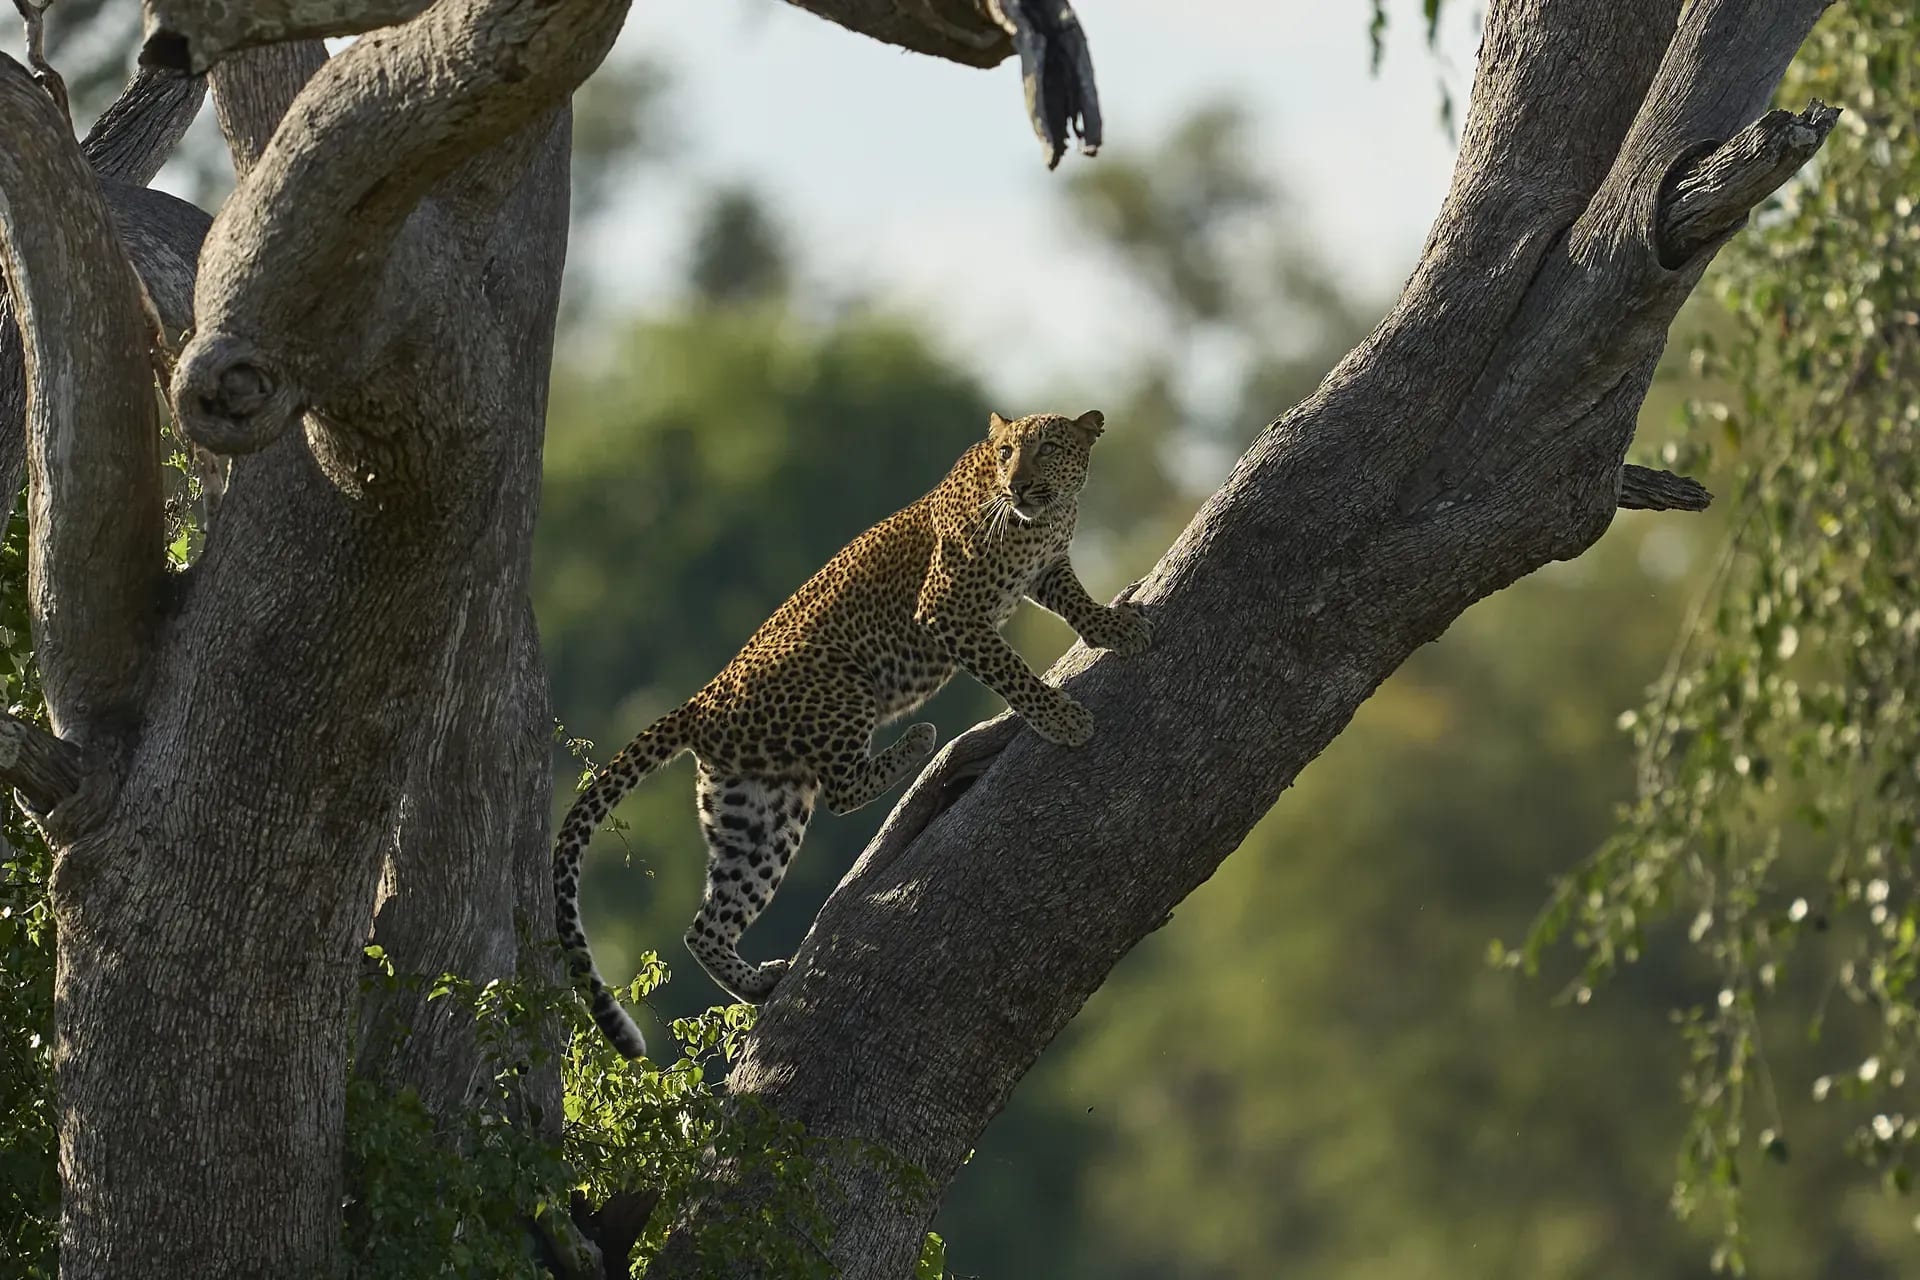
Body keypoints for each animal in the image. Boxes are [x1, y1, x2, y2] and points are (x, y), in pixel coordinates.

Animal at [553, 409, 1150, 1058]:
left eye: (1047, 449)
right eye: (1007, 452)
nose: (1016, 485)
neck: (1044, 518)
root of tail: (701, 702)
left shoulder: (1046, 570)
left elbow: (1075, 602)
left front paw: (1114, 628)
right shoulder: (946, 610)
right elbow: (1009, 669)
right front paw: (1059, 717)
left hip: (759, 812)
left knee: (705, 925)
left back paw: (757, 983)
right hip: (843, 683)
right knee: (840, 788)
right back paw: (921, 742)